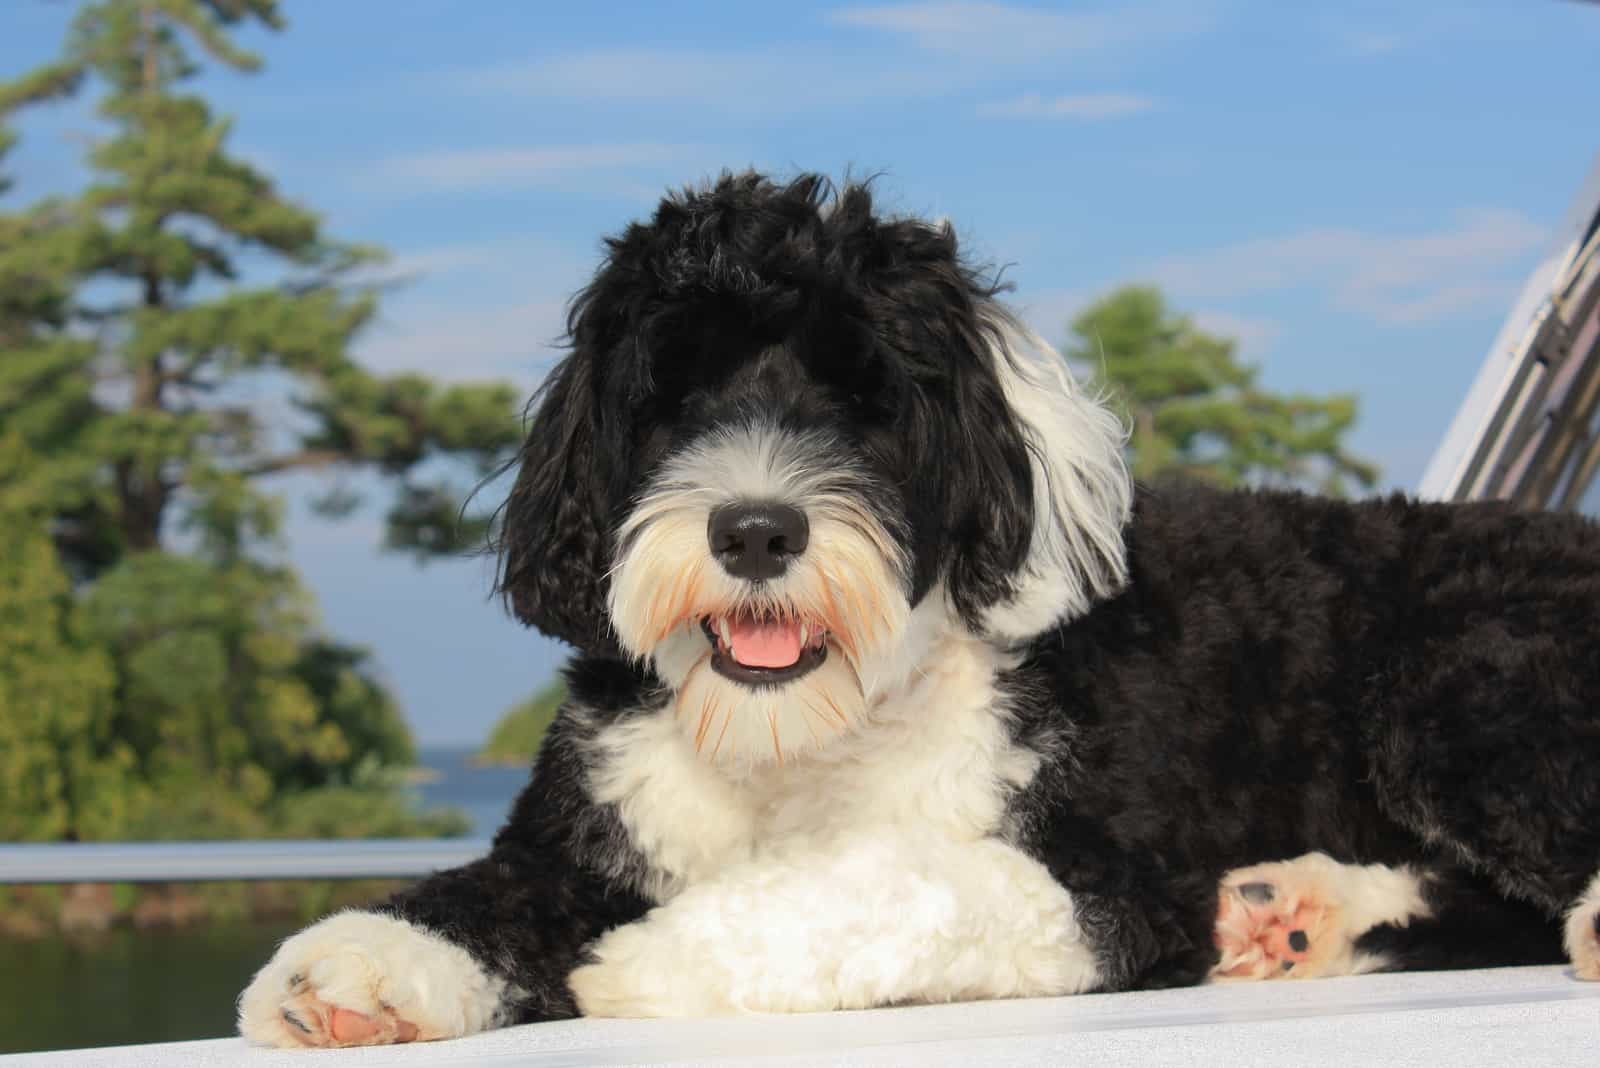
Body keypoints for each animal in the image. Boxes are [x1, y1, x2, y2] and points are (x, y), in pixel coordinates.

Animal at [233, 171, 1600, 1048]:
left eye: (870, 400)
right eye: (671, 394)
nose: (755, 530)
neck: (798, 743)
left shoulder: (1108, 883)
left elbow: (898, 880)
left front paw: (655, 960)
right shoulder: (581, 837)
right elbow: (484, 892)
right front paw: (355, 964)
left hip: (1459, 681)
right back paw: (1304, 915)